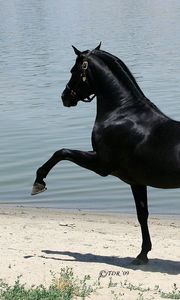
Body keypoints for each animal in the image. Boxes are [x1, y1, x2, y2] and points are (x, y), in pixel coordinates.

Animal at [31, 42, 180, 264]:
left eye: (73, 70)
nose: (64, 97)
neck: (122, 112)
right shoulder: (137, 181)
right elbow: (142, 215)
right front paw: (142, 254)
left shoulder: (101, 164)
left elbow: (62, 152)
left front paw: (39, 182)